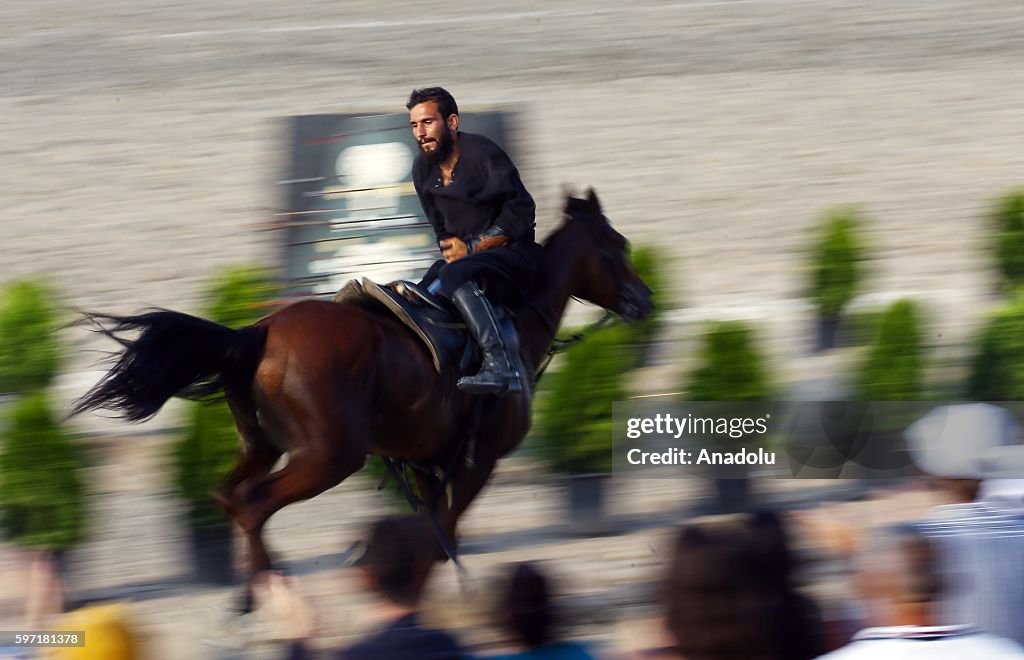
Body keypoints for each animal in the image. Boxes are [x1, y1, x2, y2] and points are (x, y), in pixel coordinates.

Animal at [72, 189, 651, 585]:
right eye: (618, 245)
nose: (644, 299)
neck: (512, 322)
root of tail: (257, 333)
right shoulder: (476, 463)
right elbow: (438, 542)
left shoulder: (429, 466)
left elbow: (434, 541)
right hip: (329, 456)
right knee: (255, 505)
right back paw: (264, 598)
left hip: (263, 446)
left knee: (229, 496)